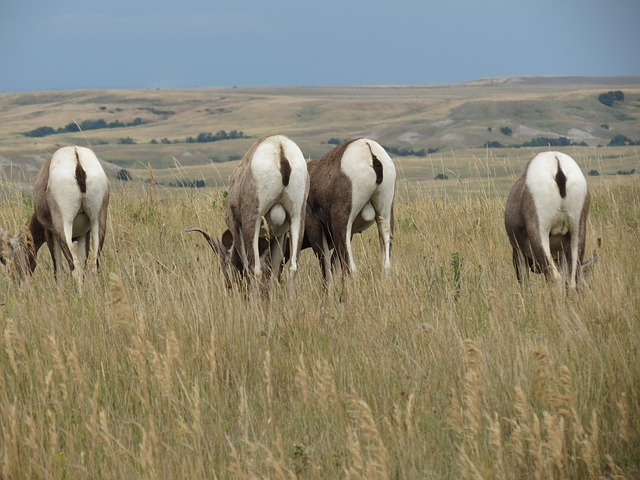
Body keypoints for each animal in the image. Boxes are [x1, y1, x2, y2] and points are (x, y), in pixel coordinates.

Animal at [0, 145, 110, 287]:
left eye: (6, 258)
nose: (19, 283)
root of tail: (76, 157)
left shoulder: (50, 233)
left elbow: (58, 271)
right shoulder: (84, 234)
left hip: (63, 226)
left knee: (75, 268)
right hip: (97, 221)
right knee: (93, 266)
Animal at [186, 135, 309, 287]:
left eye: (225, 264)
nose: (229, 286)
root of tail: (280, 148)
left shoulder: (235, 224)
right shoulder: (278, 234)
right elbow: (274, 269)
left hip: (253, 221)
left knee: (254, 268)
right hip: (297, 217)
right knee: (293, 267)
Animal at [302, 138, 396, 283]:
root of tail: (369, 149)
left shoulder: (315, 229)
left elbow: (327, 271)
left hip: (342, 223)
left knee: (350, 268)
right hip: (384, 215)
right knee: (386, 265)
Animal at [504, 151, 591, 288]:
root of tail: (557, 166)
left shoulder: (519, 252)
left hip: (540, 235)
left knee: (554, 278)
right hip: (577, 233)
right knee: (571, 281)